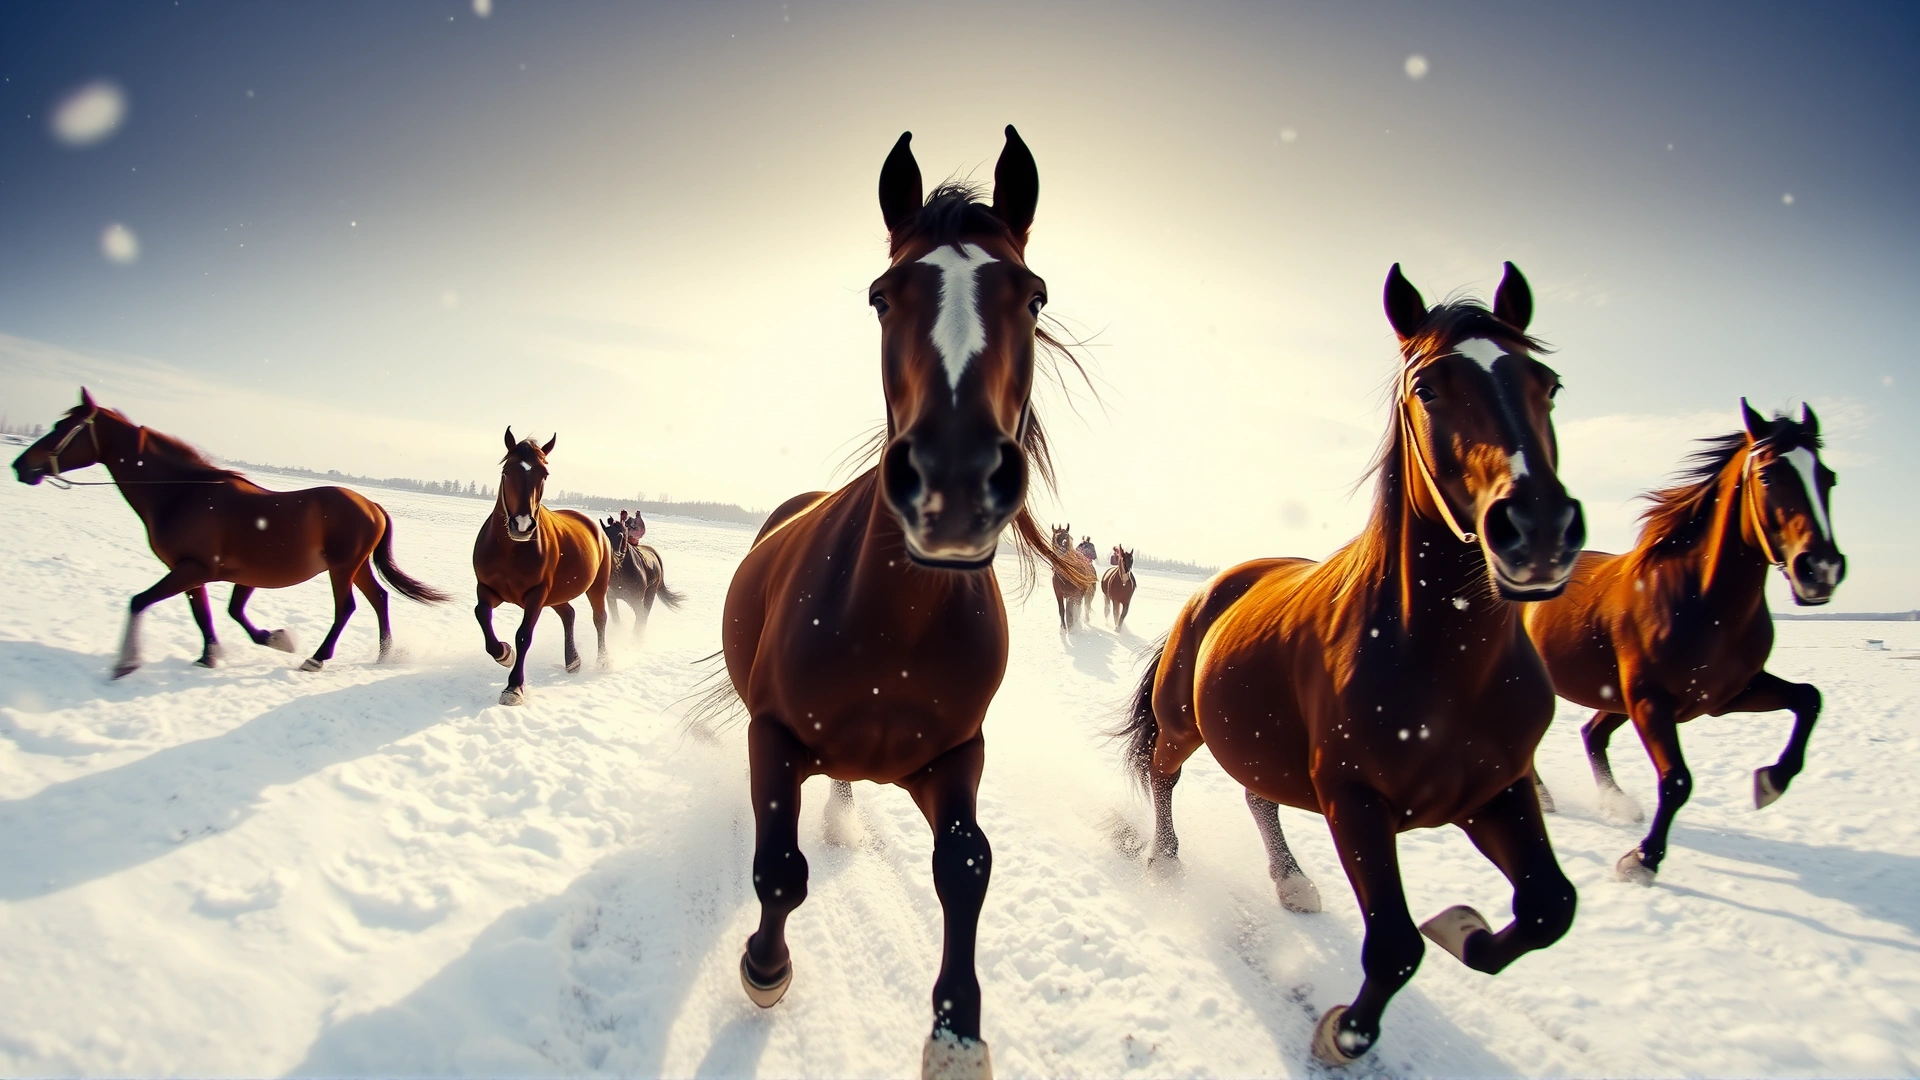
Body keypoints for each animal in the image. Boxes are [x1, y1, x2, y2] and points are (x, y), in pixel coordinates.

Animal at [10, 390, 449, 676]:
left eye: (62, 427)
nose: (20, 466)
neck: (183, 493)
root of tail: (372, 505)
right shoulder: (206, 573)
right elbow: (213, 614)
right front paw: (225, 651)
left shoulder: (193, 568)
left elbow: (141, 602)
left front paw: (126, 662)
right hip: (355, 567)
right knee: (379, 599)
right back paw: (385, 654)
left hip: (342, 568)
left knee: (347, 609)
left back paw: (317, 658)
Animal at [472, 430, 611, 705]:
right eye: (507, 471)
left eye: (544, 474)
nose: (522, 525)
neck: (510, 550)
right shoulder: (487, 588)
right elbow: (481, 613)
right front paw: (504, 653)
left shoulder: (536, 595)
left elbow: (524, 635)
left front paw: (514, 687)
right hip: (556, 594)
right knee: (568, 614)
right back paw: (572, 661)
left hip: (596, 587)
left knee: (599, 618)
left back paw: (601, 662)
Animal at [718, 126, 1092, 1080]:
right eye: (883, 296)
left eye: (1033, 295)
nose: (954, 482)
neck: (896, 625)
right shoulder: (771, 734)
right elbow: (780, 867)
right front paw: (765, 967)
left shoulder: (955, 753)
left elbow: (965, 866)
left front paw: (956, 1033)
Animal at [1114, 263, 1586, 1065]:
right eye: (1429, 386)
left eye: (1547, 383)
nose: (1541, 529)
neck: (1446, 664)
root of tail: (1216, 587)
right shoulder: (1356, 803)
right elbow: (1395, 945)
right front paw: (1344, 1033)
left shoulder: (1498, 789)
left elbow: (1551, 906)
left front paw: (1464, 929)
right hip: (1185, 725)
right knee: (1164, 774)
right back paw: (1167, 860)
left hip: (1258, 742)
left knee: (1259, 797)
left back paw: (1291, 881)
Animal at [1522, 402, 1845, 885]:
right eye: (1768, 475)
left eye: (1828, 477)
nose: (1821, 570)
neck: (1702, 601)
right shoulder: (1650, 700)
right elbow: (1677, 780)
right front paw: (1641, 860)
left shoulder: (1726, 695)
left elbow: (1808, 698)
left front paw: (1770, 783)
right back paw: (1544, 798)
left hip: (1615, 697)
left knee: (1592, 733)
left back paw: (1618, 804)